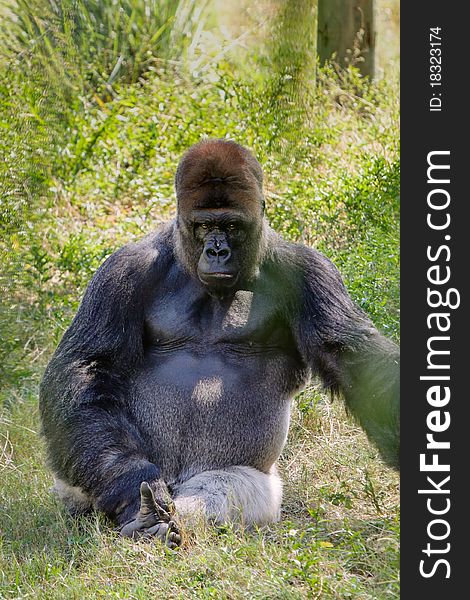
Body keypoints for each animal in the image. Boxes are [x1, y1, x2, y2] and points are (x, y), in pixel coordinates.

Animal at [41, 139, 400, 544]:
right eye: (204, 226)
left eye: (230, 225)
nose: (216, 251)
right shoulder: (123, 269)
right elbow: (88, 365)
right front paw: (127, 481)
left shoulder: (309, 272)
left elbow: (349, 355)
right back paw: (137, 510)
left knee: (217, 491)